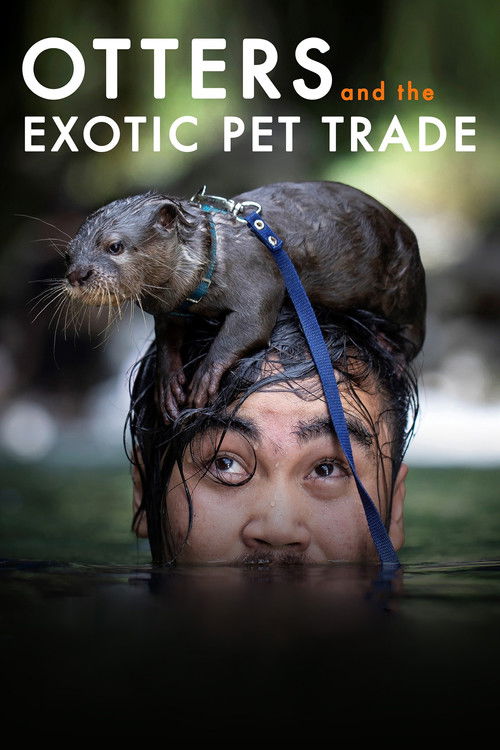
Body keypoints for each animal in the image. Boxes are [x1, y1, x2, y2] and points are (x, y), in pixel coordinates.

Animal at [64, 181, 426, 420]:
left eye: (115, 246)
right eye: (68, 255)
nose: (77, 274)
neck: (210, 261)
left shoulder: (258, 278)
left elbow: (252, 323)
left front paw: (204, 378)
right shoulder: (172, 308)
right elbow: (168, 336)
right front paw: (167, 382)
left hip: (404, 282)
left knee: (415, 333)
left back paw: (392, 350)